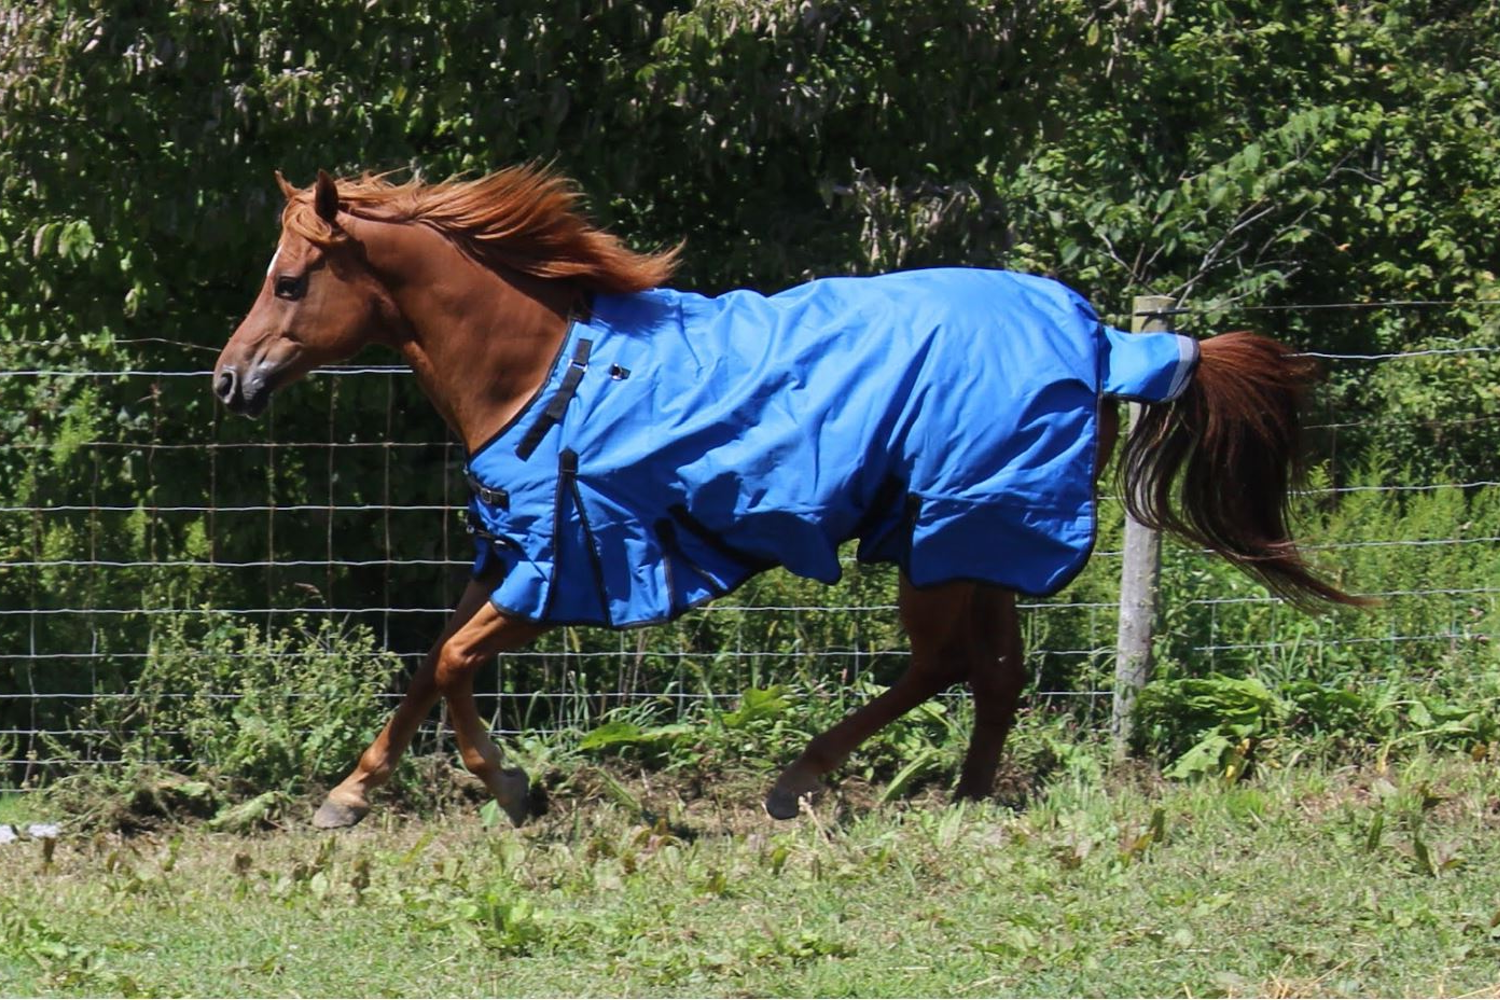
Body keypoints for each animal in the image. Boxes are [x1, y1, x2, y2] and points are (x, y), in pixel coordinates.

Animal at [211, 166, 1367, 829]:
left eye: (286, 281)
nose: (228, 379)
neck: (549, 370)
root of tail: (1105, 338)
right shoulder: (510, 552)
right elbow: (425, 664)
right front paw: (349, 795)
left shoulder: (563, 567)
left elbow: (453, 662)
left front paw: (510, 786)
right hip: (966, 537)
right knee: (993, 671)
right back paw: (961, 797)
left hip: (948, 541)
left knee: (951, 664)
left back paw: (804, 780)